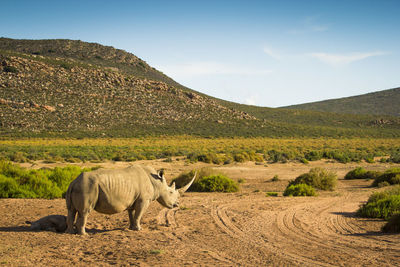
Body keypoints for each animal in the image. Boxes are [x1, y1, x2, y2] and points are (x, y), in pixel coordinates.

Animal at [65, 166, 195, 236]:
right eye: (171, 192)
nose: (177, 204)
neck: (157, 182)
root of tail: (74, 182)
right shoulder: (143, 200)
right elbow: (139, 214)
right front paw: (139, 229)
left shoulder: (133, 200)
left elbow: (132, 214)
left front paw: (132, 228)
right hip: (87, 187)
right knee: (85, 212)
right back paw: (84, 234)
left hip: (77, 187)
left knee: (71, 210)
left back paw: (70, 232)